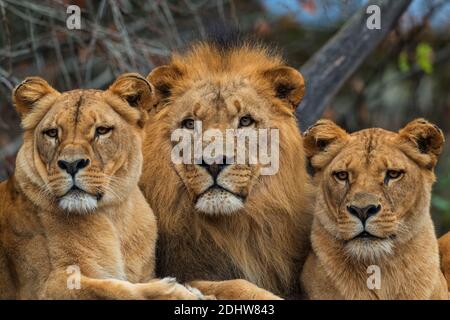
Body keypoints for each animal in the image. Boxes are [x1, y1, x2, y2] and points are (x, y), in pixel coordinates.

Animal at [0, 74, 204, 298]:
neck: (112, 215)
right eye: (52, 133)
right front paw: (175, 291)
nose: (71, 164)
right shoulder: (42, 287)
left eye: (102, 130)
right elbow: (110, 288)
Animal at [140, 41, 312, 298]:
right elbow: (234, 284)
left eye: (245, 121)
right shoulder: (183, 272)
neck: (234, 230)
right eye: (189, 124)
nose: (213, 162)